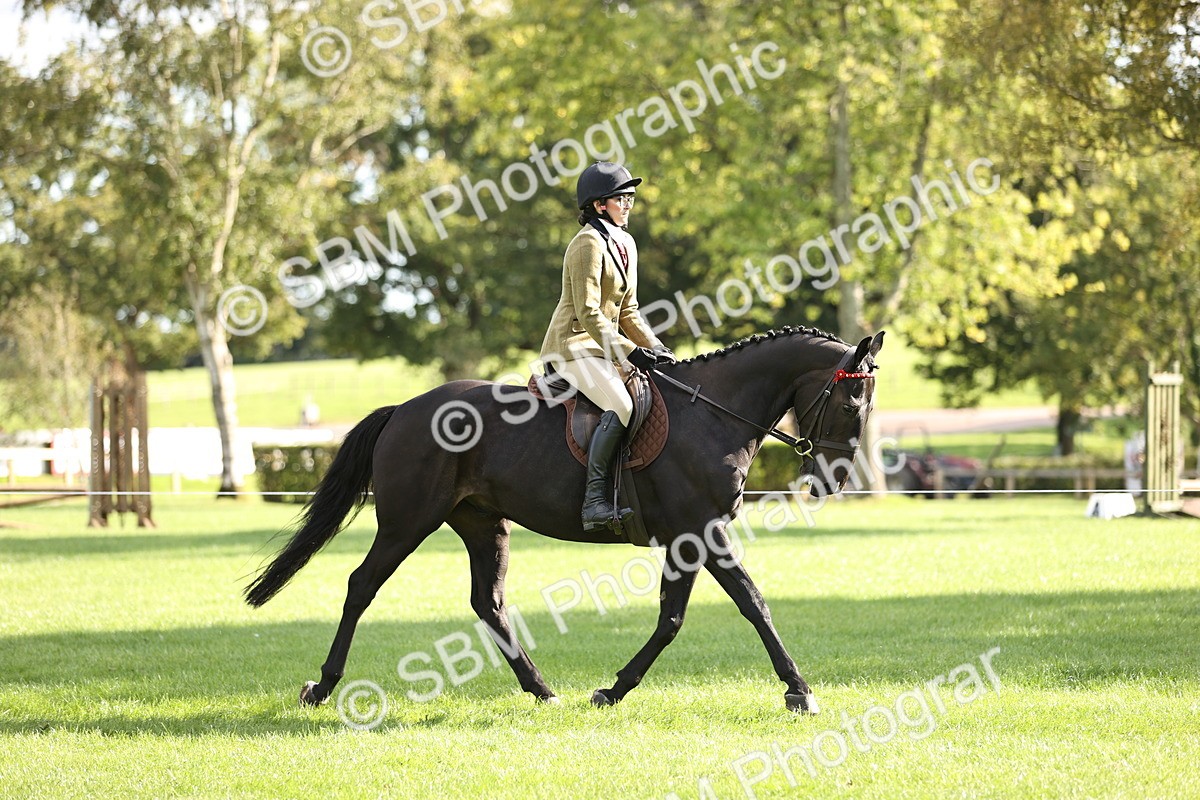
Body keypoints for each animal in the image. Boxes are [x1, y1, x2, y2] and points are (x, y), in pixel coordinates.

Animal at [244, 326, 884, 714]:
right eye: (851, 401)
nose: (832, 482)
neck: (715, 416)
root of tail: (404, 408)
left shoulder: (689, 539)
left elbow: (672, 618)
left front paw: (613, 689)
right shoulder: (700, 532)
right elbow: (752, 603)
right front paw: (799, 692)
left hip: (483, 525)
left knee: (488, 603)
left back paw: (542, 690)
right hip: (408, 523)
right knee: (362, 585)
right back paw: (322, 686)